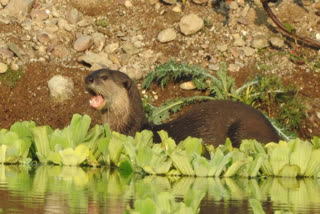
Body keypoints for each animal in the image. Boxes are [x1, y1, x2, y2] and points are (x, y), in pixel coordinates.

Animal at [85, 68, 280, 147]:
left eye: (104, 77)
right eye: (93, 72)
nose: (88, 78)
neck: (128, 127)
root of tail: (276, 136)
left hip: (242, 129)